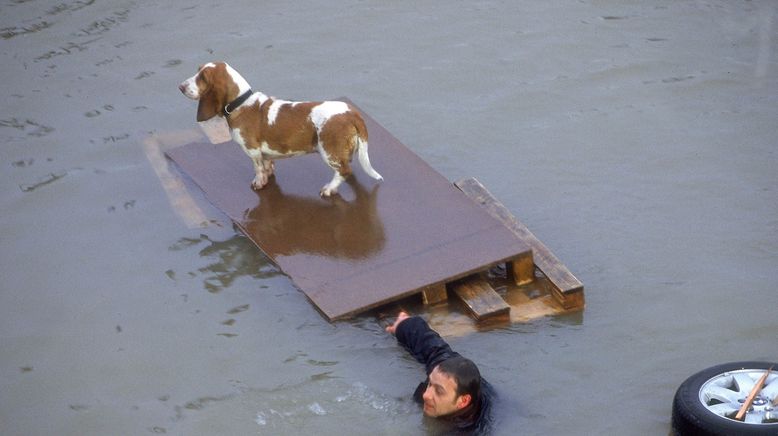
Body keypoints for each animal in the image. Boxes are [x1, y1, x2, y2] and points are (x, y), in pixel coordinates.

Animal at [177, 61, 382, 196]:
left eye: (203, 77)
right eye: (197, 71)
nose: (180, 86)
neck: (242, 103)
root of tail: (352, 113)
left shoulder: (252, 151)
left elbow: (258, 169)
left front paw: (259, 184)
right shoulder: (264, 153)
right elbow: (267, 164)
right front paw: (268, 175)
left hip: (328, 151)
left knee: (344, 171)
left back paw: (329, 189)